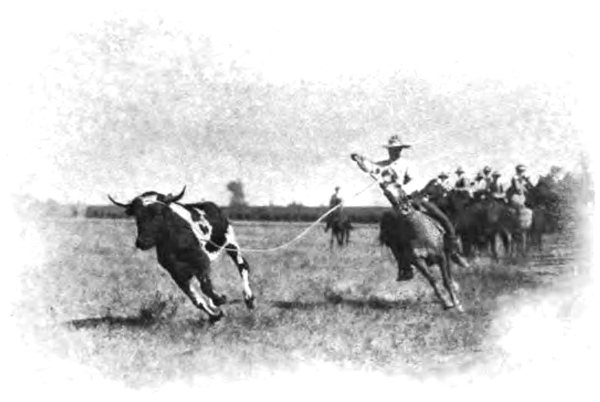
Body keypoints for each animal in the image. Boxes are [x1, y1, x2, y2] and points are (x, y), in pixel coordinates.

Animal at [108, 186, 255, 323]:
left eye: (159, 213)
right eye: (137, 215)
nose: (143, 242)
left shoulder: (202, 262)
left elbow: (206, 287)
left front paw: (219, 299)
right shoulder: (177, 273)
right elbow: (196, 299)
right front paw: (215, 315)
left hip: (231, 244)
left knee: (243, 267)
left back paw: (249, 298)